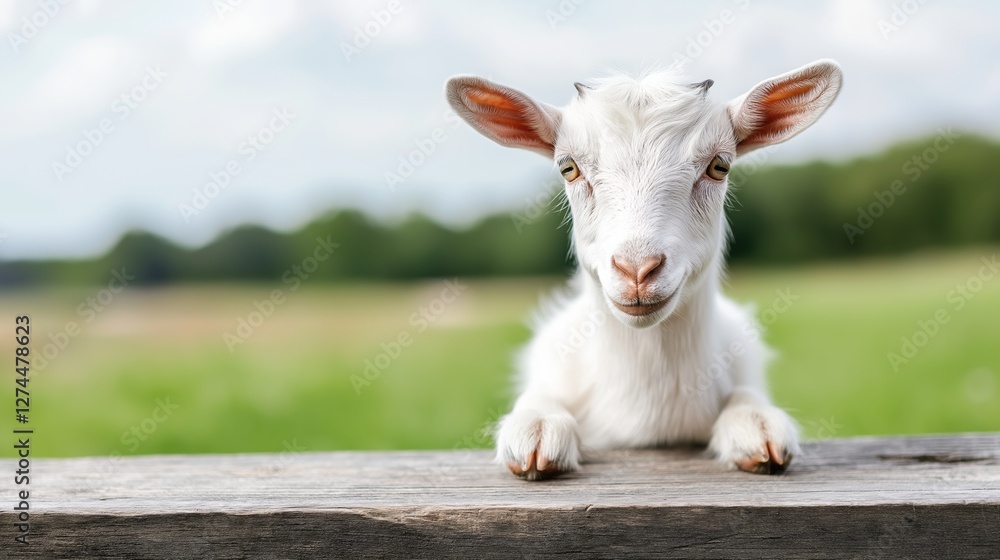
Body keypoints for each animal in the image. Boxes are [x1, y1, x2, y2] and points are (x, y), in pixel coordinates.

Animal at [445, 60, 842, 479]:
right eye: (568, 168)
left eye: (719, 166)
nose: (637, 270)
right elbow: (538, 402)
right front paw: (536, 429)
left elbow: (748, 399)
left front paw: (758, 426)